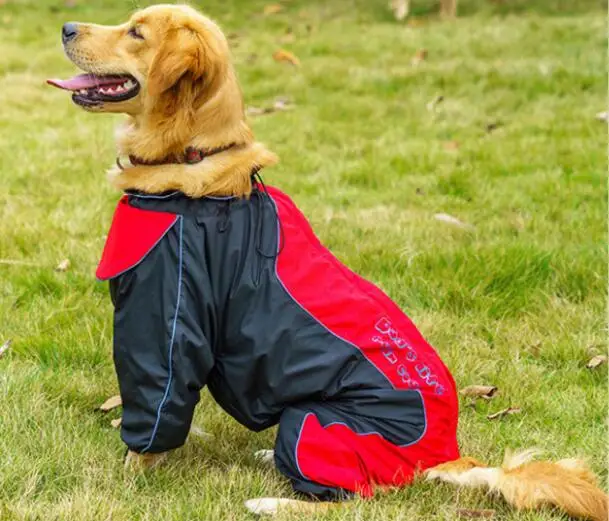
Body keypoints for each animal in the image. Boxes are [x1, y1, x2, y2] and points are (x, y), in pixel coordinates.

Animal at [47, 5, 604, 520]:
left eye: (136, 33)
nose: (67, 27)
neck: (192, 159)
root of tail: (445, 456)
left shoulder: (165, 318)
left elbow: (154, 410)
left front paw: (127, 478)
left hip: (313, 424)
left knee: (351, 500)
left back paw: (270, 501)